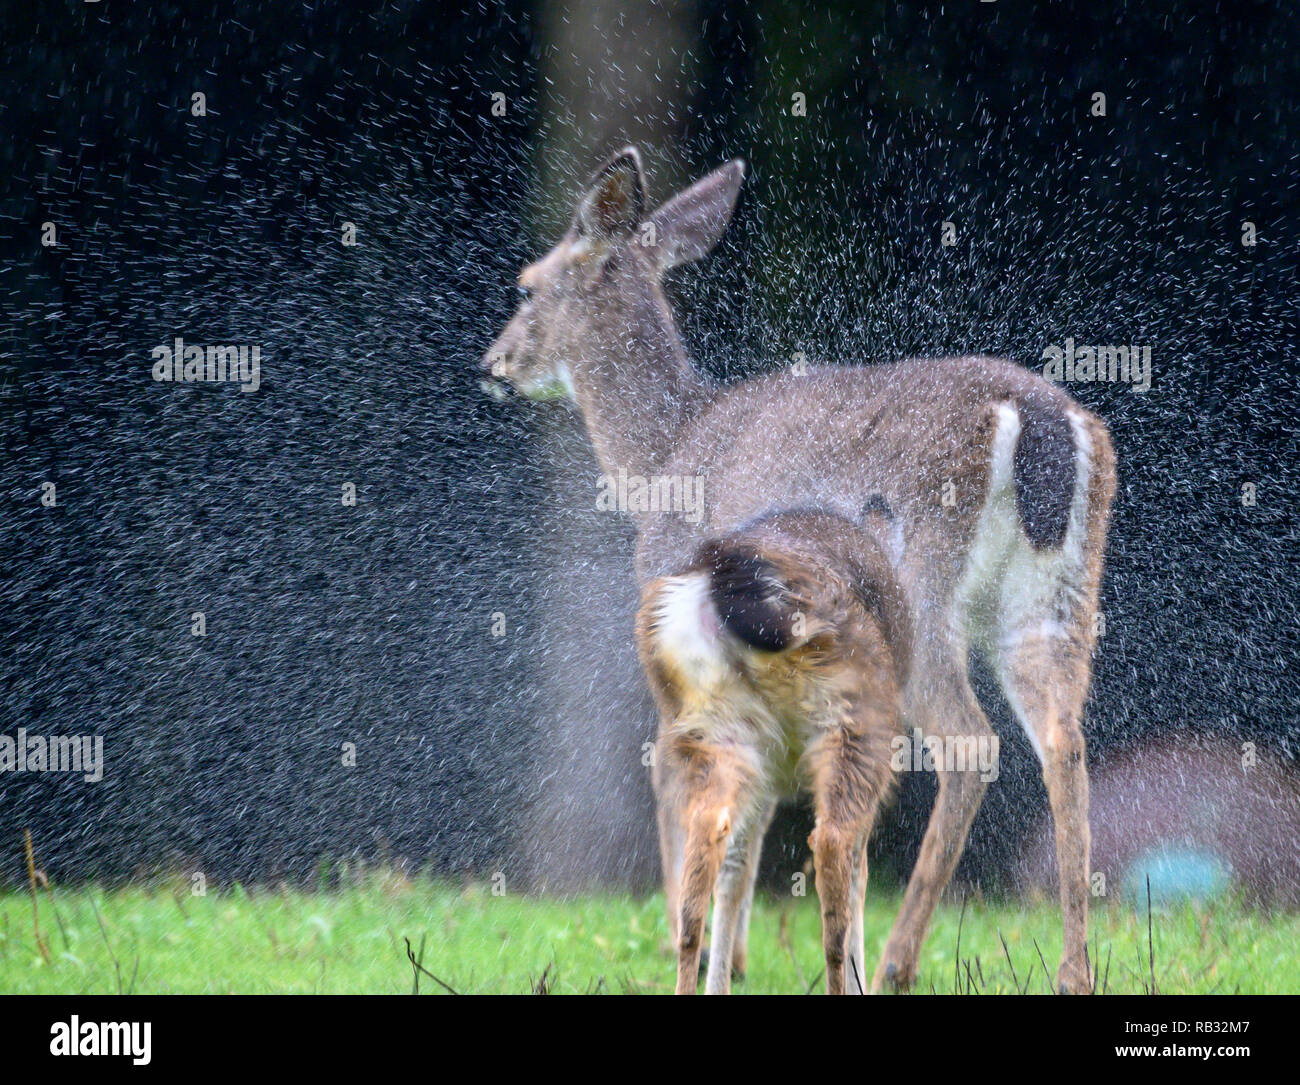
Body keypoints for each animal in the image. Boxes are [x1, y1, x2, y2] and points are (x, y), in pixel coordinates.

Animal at [480, 147, 1116, 995]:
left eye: (529, 283)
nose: (496, 364)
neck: (661, 455)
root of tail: (1044, 422)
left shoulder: (671, 599)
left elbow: (682, 784)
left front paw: (698, 945)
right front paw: (738, 952)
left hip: (923, 579)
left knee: (972, 743)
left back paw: (897, 959)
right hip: (1057, 592)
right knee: (1062, 740)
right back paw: (1072, 969)